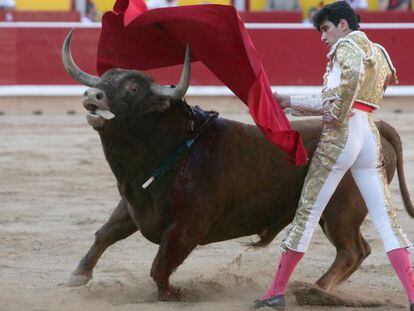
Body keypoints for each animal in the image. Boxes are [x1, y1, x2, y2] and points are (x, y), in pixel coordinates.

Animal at [62, 32, 414, 302]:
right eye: (105, 79)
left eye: (133, 89)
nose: (93, 94)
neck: (176, 148)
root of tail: (378, 124)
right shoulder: (134, 203)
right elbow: (106, 232)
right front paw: (78, 275)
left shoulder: (188, 225)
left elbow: (160, 265)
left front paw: (172, 295)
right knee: (362, 248)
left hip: (341, 209)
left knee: (352, 250)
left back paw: (313, 291)